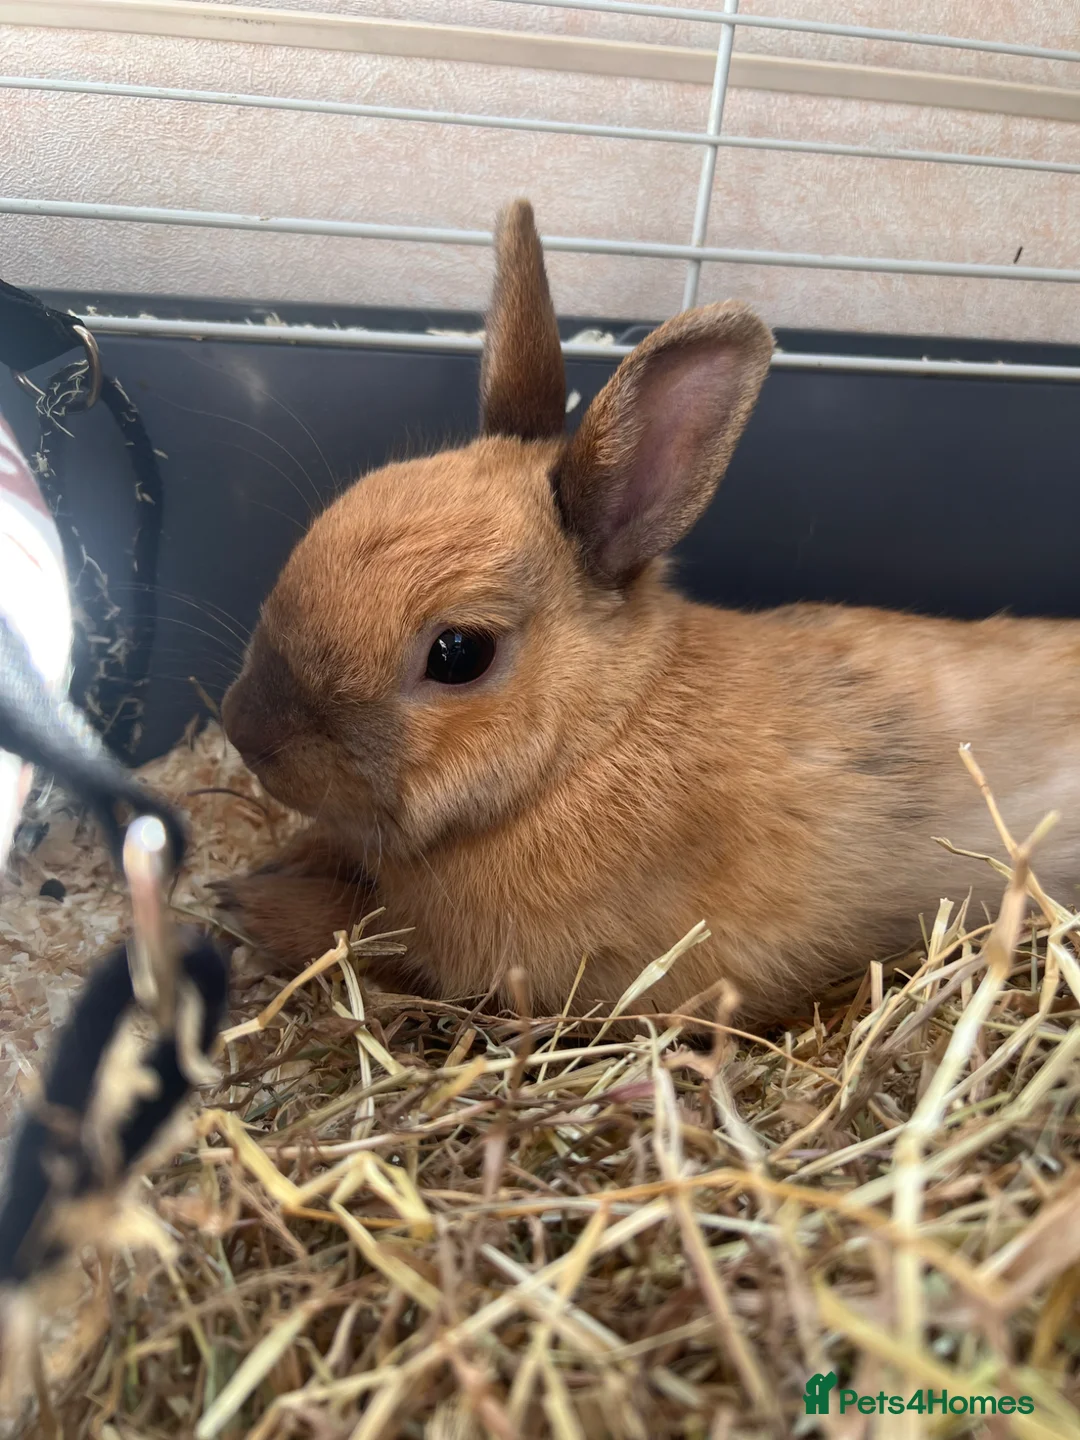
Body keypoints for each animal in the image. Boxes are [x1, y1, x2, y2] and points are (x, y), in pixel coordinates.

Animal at [217, 199, 1080, 1033]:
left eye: (459, 653)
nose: (247, 732)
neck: (594, 742)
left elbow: (361, 933)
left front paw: (250, 901)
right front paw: (275, 865)